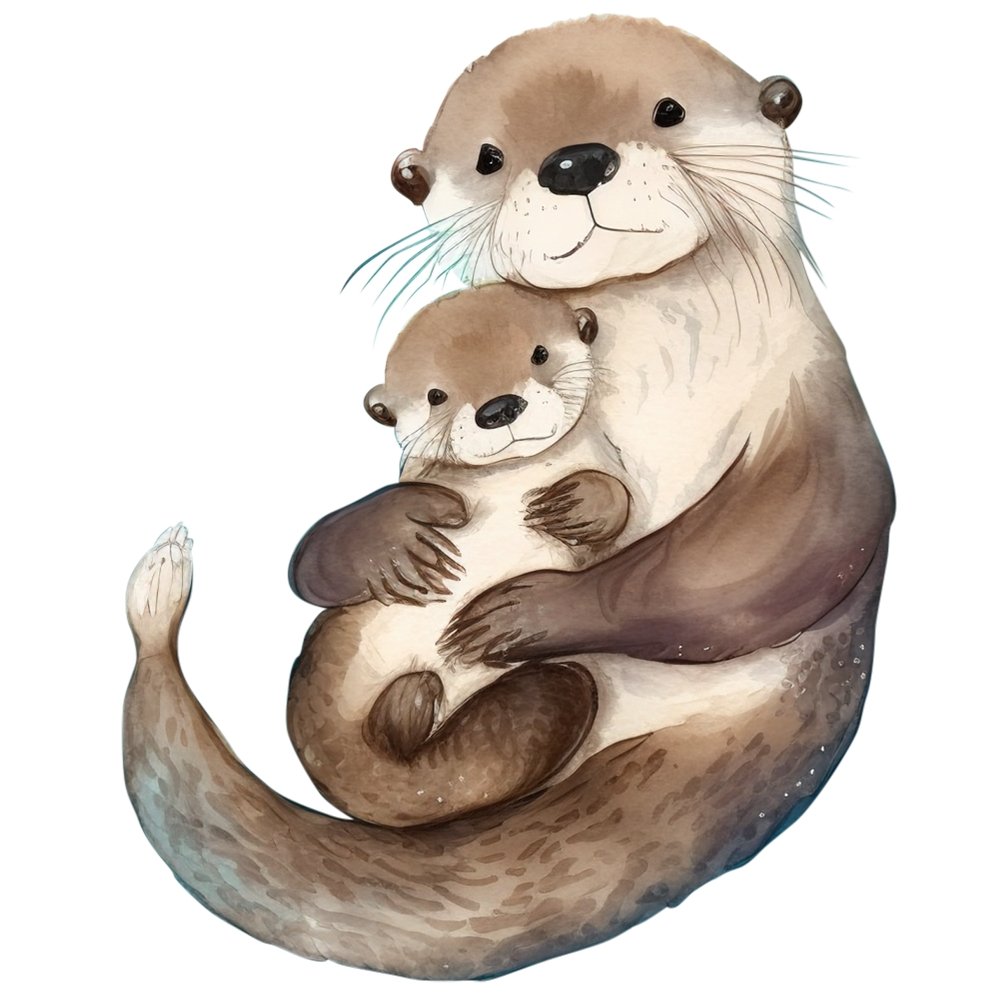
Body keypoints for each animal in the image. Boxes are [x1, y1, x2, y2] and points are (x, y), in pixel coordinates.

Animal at [123, 16, 893, 980]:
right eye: (490, 157)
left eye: (668, 110)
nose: (574, 161)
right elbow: (311, 558)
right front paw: (394, 536)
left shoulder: (816, 414)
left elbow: (789, 549)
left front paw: (530, 609)